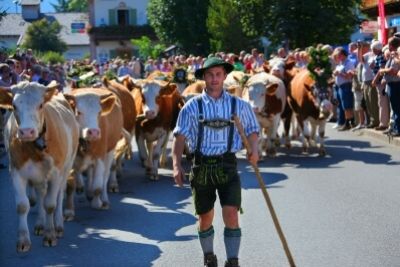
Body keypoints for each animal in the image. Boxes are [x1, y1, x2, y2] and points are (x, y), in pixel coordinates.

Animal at [0, 82, 79, 253]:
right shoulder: (16, 172)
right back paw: (40, 224)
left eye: (41, 105)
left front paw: (50, 236)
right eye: (14, 106)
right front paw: (23, 241)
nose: (26, 131)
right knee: (41, 192)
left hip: (67, 166)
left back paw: (58, 225)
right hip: (38, 175)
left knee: (59, 194)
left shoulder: (56, 173)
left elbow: (50, 204)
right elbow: (22, 206)